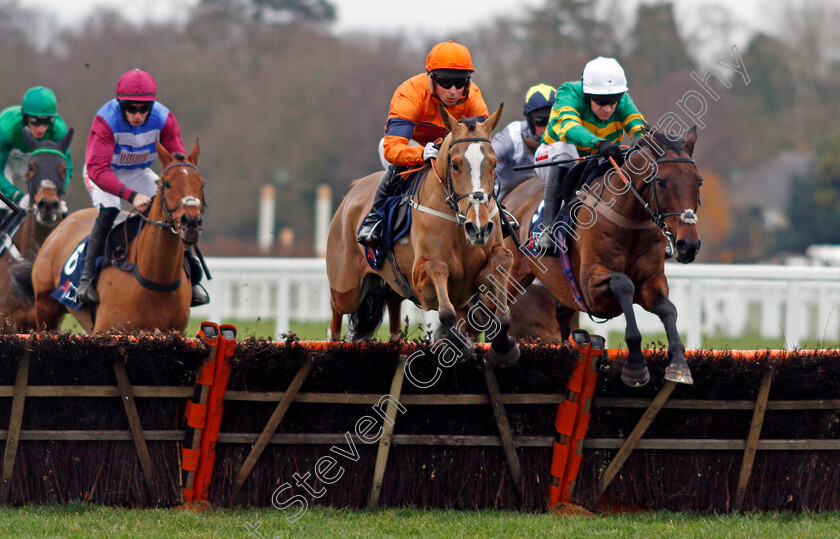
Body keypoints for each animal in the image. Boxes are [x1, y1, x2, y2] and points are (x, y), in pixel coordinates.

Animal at [25, 140, 203, 334]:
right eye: (168, 183)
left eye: (201, 184)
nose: (191, 222)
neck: (156, 280)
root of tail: (65, 222)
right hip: (45, 309)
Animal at [326, 104, 520, 368]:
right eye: (455, 165)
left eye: (493, 164)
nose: (478, 227)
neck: (457, 222)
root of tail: (352, 193)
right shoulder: (422, 281)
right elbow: (441, 285)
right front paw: (459, 344)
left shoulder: (480, 272)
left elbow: (503, 260)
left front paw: (504, 346)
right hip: (347, 288)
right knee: (336, 314)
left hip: (391, 283)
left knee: (393, 305)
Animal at [506, 128, 704, 386]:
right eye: (660, 182)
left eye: (698, 181)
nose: (687, 245)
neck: (628, 218)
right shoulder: (591, 288)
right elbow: (623, 283)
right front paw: (635, 365)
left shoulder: (651, 282)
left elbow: (669, 309)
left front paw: (679, 364)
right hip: (510, 275)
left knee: (561, 314)